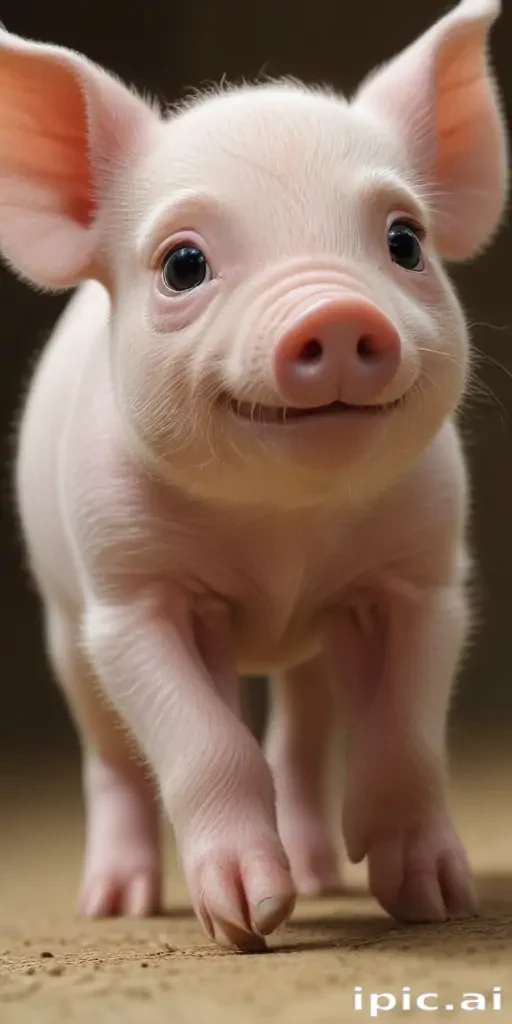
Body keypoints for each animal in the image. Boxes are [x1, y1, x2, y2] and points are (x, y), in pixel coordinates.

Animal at [0, 0, 508, 950]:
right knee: (114, 758)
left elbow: (408, 736)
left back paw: (322, 872)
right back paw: (117, 902)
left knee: (304, 729)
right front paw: (250, 923)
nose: (336, 312)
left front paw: (434, 899)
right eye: (183, 264)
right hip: (63, 626)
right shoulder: (129, 597)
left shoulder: (425, 579)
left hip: (314, 646)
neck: (284, 537)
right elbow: (207, 746)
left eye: (405, 242)